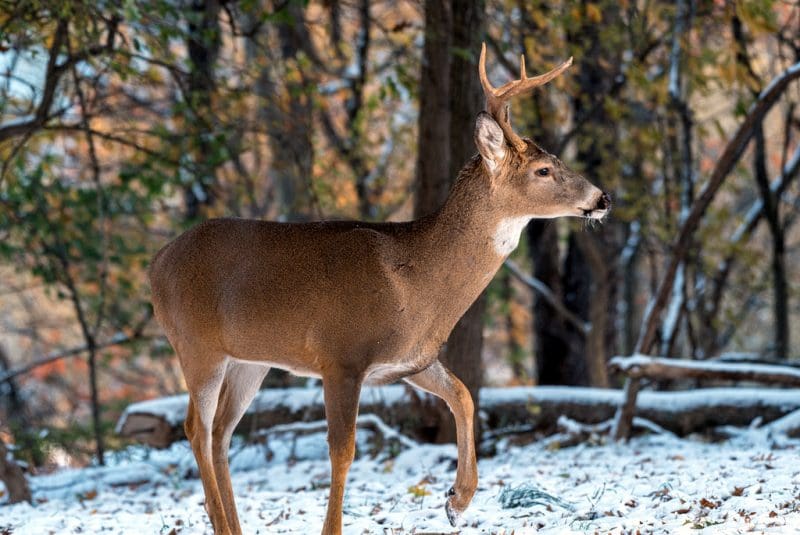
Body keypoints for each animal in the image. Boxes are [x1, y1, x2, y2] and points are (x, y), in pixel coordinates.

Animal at [148, 43, 610, 535]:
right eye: (543, 170)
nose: (602, 199)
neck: (415, 282)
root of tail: (155, 264)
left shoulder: (409, 359)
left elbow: (464, 396)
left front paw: (457, 500)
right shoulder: (341, 356)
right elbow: (343, 450)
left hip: (249, 361)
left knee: (221, 433)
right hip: (197, 345)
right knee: (196, 428)